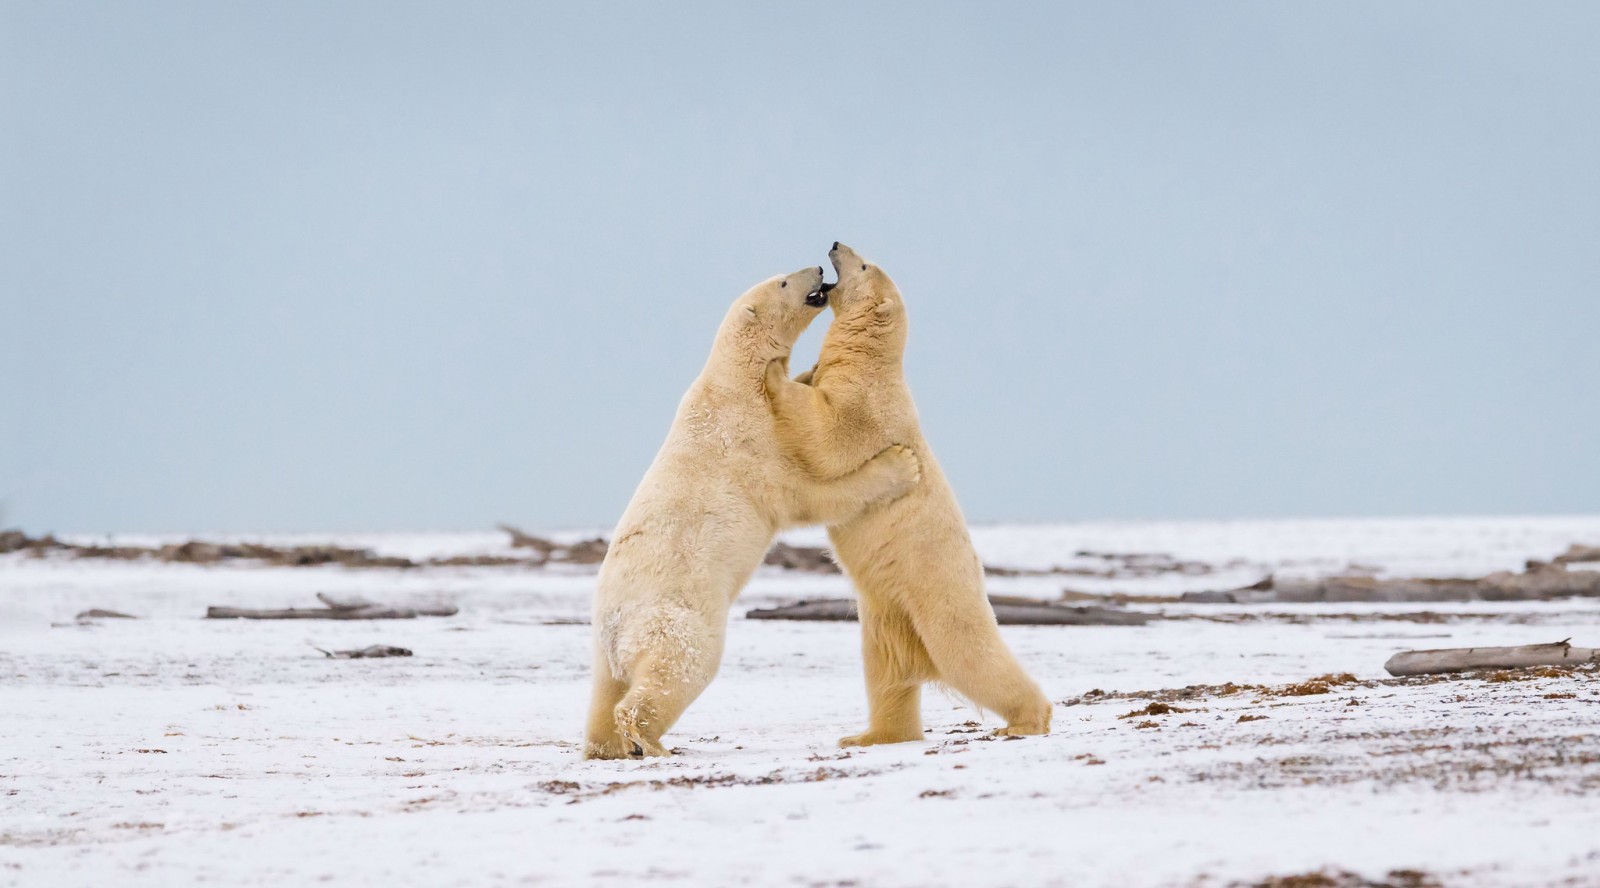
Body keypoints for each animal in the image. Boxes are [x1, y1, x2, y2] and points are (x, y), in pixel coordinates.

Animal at [582, 267, 921, 761]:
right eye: (782, 282)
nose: (819, 269)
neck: (735, 381)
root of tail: (614, 625)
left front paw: (807, 372)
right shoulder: (752, 442)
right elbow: (809, 494)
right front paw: (900, 465)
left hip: (605, 647)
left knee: (604, 692)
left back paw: (604, 745)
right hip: (677, 618)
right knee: (682, 667)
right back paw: (649, 740)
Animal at [761, 241, 1049, 742]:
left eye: (862, 264)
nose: (834, 243)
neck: (870, 361)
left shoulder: (868, 406)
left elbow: (827, 433)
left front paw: (775, 373)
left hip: (937, 590)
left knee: (969, 654)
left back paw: (1026, 721)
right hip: (887, 614)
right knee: (886, 670)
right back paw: (870, 735)